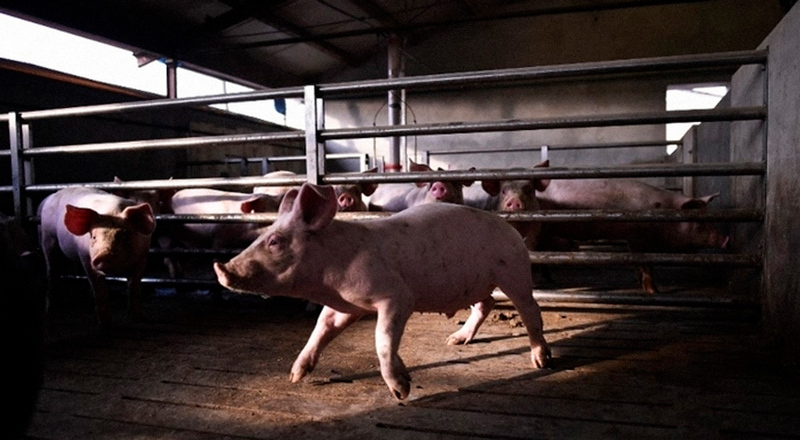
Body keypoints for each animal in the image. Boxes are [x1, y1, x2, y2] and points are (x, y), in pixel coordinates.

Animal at [38, 187, 156, 324]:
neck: (112, 211)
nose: (104, 255)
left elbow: (134, 286)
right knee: (52, 272)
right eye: (93, 237)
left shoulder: (142, 256)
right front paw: (105, 323)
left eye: (125, 236)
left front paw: (139, 318)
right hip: (47, 238)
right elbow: (99, 289)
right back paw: (49, 311)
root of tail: (49, 198)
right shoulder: (86, 258)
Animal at [212, 182, 552, 398]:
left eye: (275, 241)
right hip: (478, 282)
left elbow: (383, 340)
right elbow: (321, 328)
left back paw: (541, 361)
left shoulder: (396, 297)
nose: (221, 268)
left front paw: (401, 391)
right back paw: (455, 340)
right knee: (486, 304)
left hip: (514, 271)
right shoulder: (345, 306)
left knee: (529, 309)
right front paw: (295, 375)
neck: (329, 279)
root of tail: (511, 229)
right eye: (263, 235)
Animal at [536, 177, 732, 294]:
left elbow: (636, 262)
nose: (726, 240)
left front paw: (640, 283)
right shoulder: (638, 238)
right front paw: (654, 292)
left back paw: (551, 282)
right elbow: (645, 263)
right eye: (700, 222)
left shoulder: (632, 238)